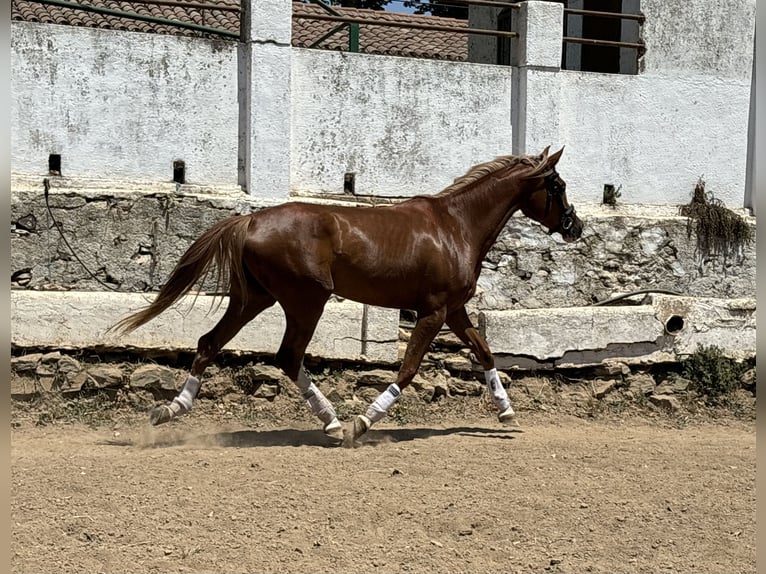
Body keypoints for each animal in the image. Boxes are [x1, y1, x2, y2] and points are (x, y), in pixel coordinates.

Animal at [112, 147, 584, 446]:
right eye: (557, 185)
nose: (575, 227)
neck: (456, 227)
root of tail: (250, 221)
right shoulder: (432, 311)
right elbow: (408, 369)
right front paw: (362, 423)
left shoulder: (454, 310)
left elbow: (484, 352)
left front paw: (505, 410)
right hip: (306, 300)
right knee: (287, 356)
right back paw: (335, 424)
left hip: (256, 299)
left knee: (210, 343)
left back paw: (169, 410)